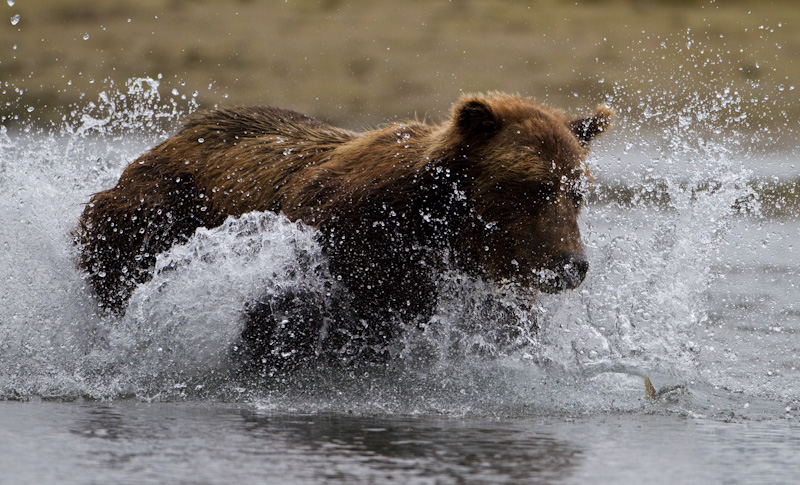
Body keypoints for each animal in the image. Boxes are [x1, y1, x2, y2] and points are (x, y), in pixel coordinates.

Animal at [75, 91, 612, 366]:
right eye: (535, 187)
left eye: (576, 192)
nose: (573, 265)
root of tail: (175, 135)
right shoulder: (343, 240)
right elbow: (281, 322)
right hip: (152, 214)